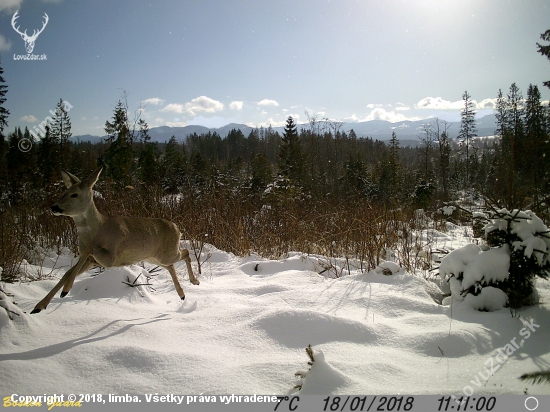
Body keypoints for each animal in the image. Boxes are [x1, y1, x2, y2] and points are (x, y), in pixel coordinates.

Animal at [30, 166, 201, 314]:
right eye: (64, 192)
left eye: (74, 194)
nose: (54, 207)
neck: (98, 230)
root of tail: (176, 227)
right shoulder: (91, 261)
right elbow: (68, 272)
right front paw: (39, 306)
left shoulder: (110, 258)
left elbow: (88, 251)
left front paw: (65, 290)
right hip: (153, 257)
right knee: (171, 265)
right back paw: (182, 294)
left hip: (167, 253)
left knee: (186, 252)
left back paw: (195, 281)